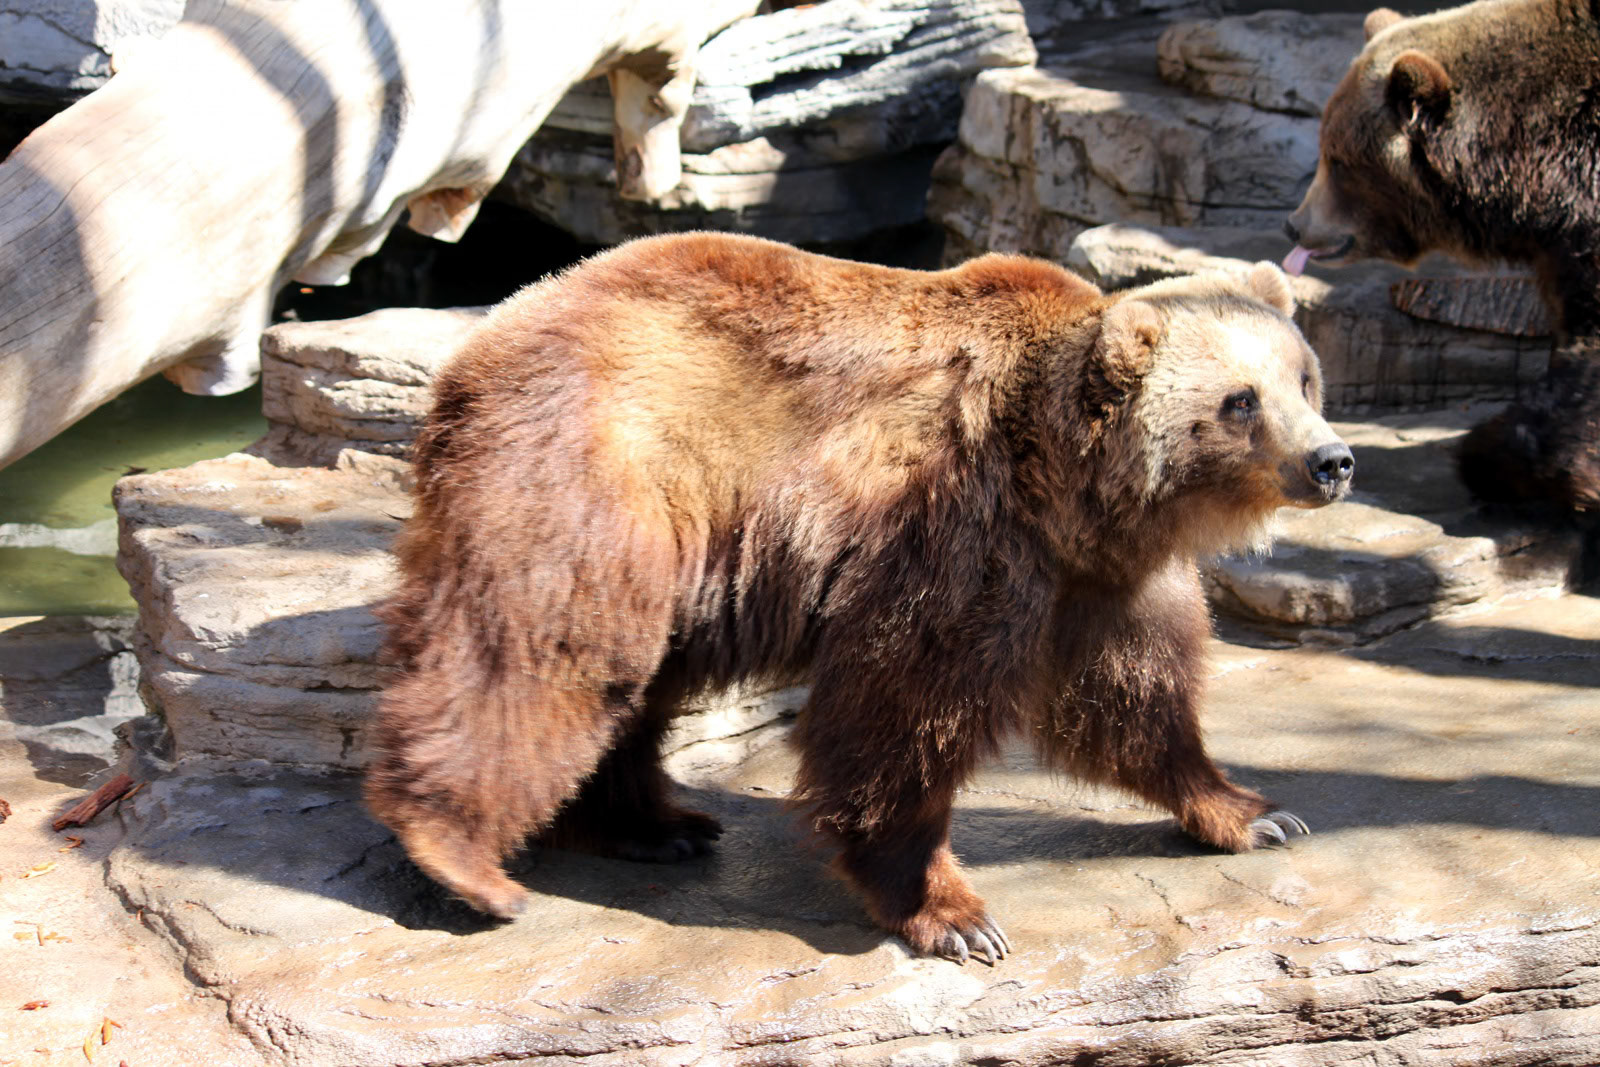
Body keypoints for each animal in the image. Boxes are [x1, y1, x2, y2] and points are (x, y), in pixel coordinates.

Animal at [364, 232, 1353, 964]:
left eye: (1304, 377)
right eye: (1240, 400)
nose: (1332, 459)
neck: (1072, 483)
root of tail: (484, 341)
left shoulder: (1103, 574)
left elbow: (1136, 701)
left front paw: (1254, 811)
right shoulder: (958, 529)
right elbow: (903, 706)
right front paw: (952, 911)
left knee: (626, 683)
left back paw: (657, 821)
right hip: (602, 472)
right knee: (540, 650)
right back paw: (461, 856)